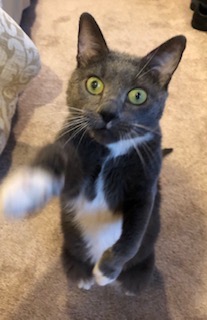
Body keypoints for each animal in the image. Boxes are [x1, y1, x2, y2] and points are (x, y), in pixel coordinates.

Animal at [0, 13, 187, 296]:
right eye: (94, 84)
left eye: (138, 95)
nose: (108, 112)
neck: (109, 152)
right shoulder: (72, 148)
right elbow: (54, 155)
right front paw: (22, 190)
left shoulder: (146, 185)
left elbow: (135, 231)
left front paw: (108, 270)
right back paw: (80, 273)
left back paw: (130, 281)